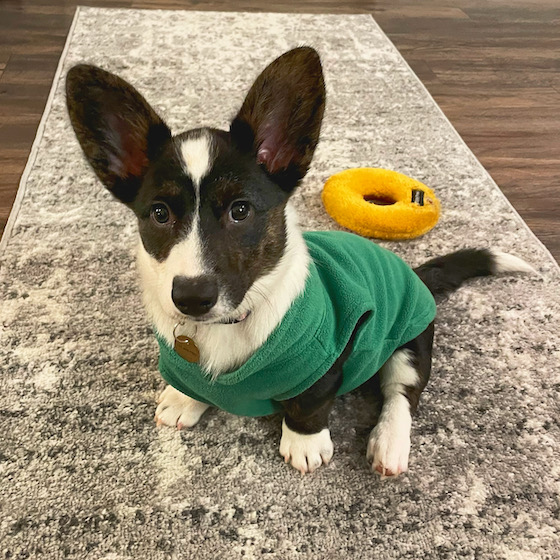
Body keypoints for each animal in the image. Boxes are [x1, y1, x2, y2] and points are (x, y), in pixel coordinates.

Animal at [66, 47, 532, 476]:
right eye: (160, 214)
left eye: (240, 211)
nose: (191, 298)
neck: (228, 324)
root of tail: (414, 273)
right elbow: (188, 384)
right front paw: (184, 400)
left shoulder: (333, 347)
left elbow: (310, 403)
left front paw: (305, 444)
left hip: (411, 342)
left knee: (402, 395)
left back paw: (388, 445)